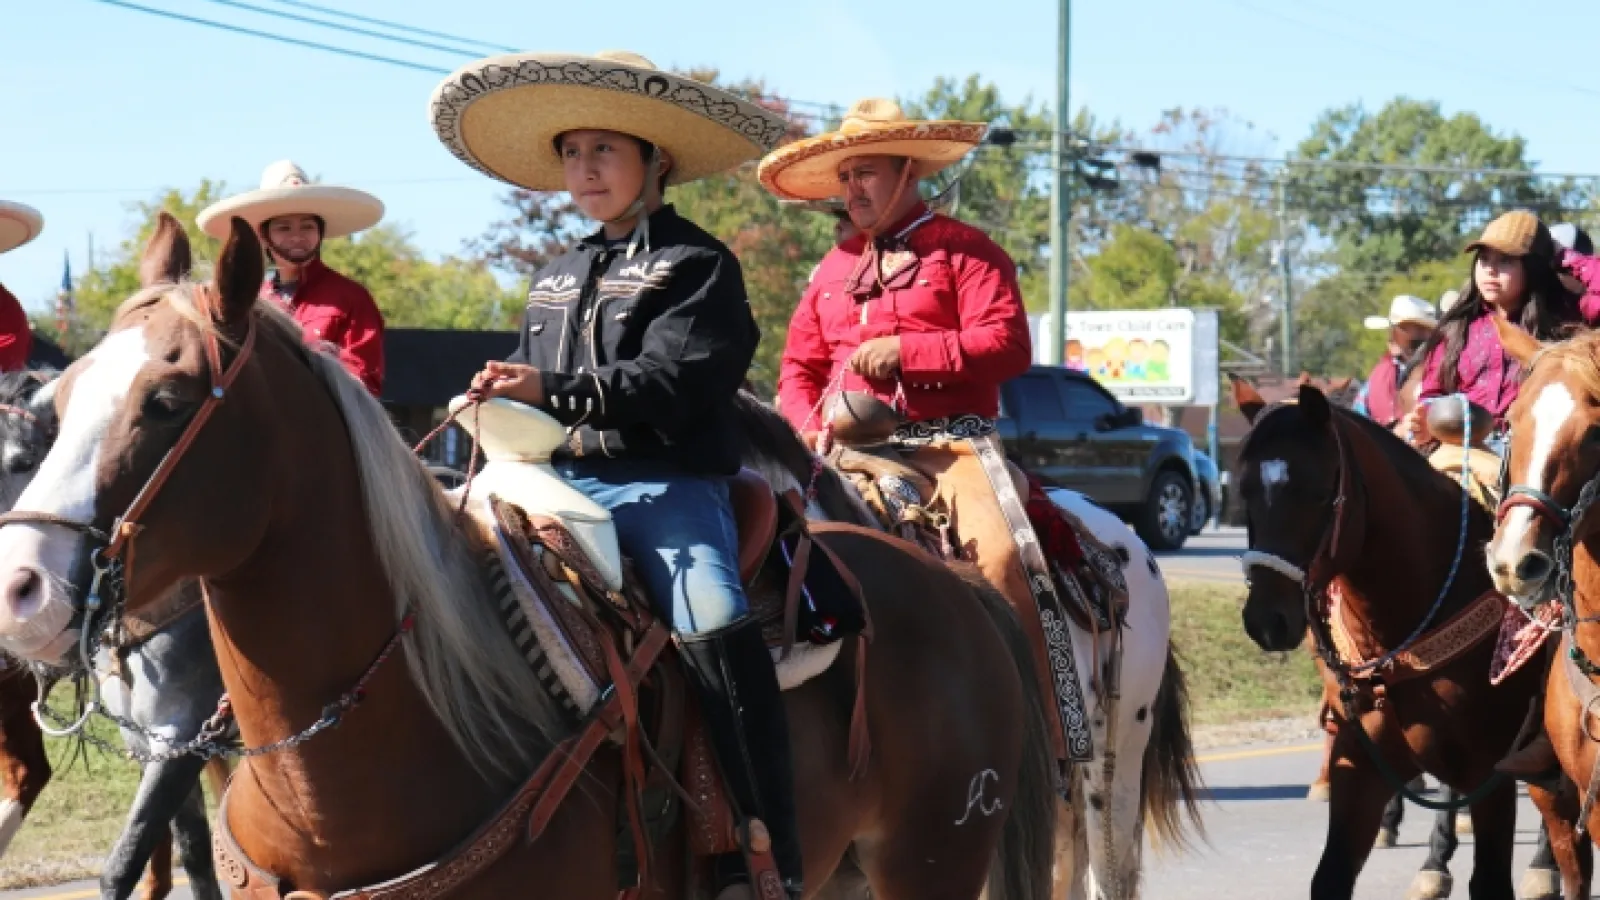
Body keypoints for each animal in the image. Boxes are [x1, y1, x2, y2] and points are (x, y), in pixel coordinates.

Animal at [1228, 379, 1568, 896]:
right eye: (1244, 490)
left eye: (1316, 492)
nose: (1267, 619)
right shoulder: (1362, 765)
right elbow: (1331, 876)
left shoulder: (1489, 771)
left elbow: (1490, 879)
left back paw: (1542, 867)